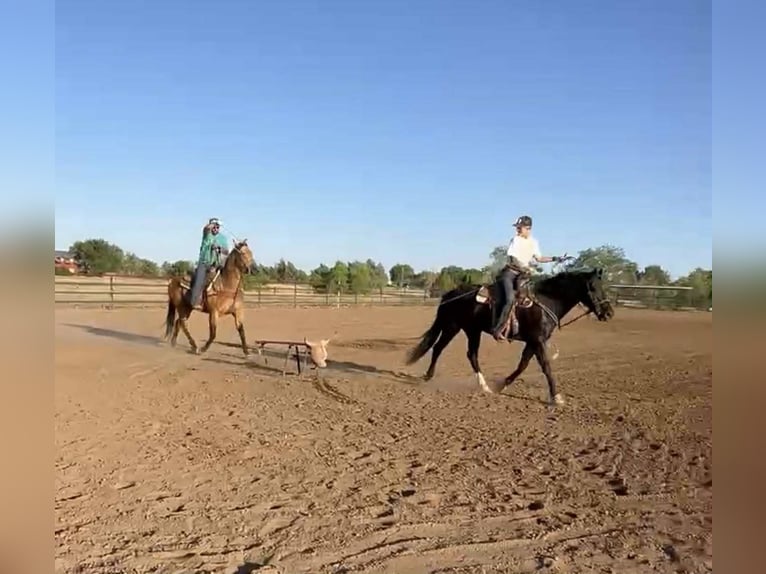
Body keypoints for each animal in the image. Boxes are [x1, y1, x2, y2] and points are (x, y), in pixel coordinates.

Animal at [404, 268, 615, 405]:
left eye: (603, 286)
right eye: (593, 287)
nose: (609, 313)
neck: (546, 302)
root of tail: (450, 293)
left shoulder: (532, 342)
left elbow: (522, 365)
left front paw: (502, 385)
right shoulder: (538, 341)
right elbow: (546, 367)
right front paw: (556, 397)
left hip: (470, 330)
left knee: (463, 353)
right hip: (454, 327)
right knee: (445, 349)